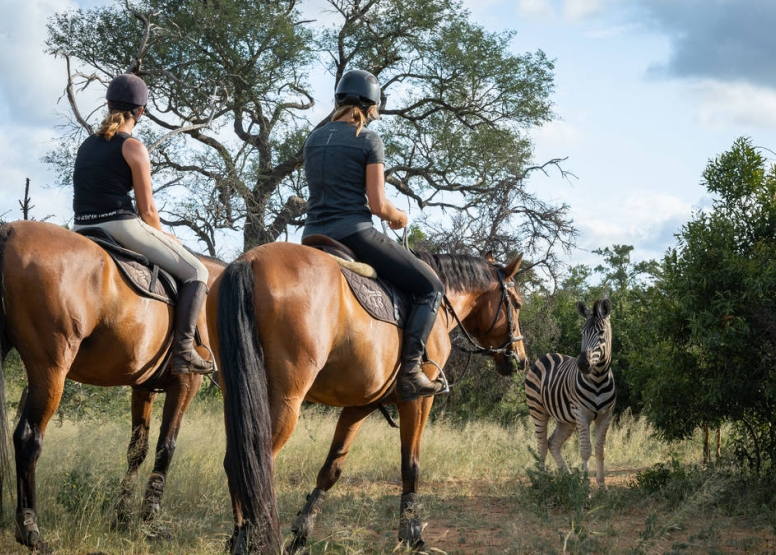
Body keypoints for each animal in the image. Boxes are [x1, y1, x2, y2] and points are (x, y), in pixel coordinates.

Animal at [0, 219, 226, 552]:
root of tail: (12, 230)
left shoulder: (143, 387)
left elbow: (137, 450)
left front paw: (122, 518)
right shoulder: (186, 383)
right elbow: (166, 447)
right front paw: (150, 521)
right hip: (50, 370)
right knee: (29, 439)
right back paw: (30, 532)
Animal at [208, 243, 528, 555]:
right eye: (517, 304)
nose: (520, 359)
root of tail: (249, 261)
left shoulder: (360, 405)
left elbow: (331, 469)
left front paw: (301, 535)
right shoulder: (418, 401)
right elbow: (411, 466)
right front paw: (412, 535)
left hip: (239, 397)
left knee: (236, 462)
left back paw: (239, 538)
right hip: (285, 401)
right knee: (255, 464)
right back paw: (251, 540)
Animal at [524, 300, 616, 486]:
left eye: (601, 332)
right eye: (582, 333)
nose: (582, 364)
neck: (598, 379)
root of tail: (547, 355)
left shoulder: (606, 415)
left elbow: (600, 450)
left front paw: (602, 486)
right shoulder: (581, 413)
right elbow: (586, 450)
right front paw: (585, 486)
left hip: (566, 420)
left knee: (553, 444)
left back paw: (567, 477)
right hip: (538, 410)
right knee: (542, 445)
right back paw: (543, 481)